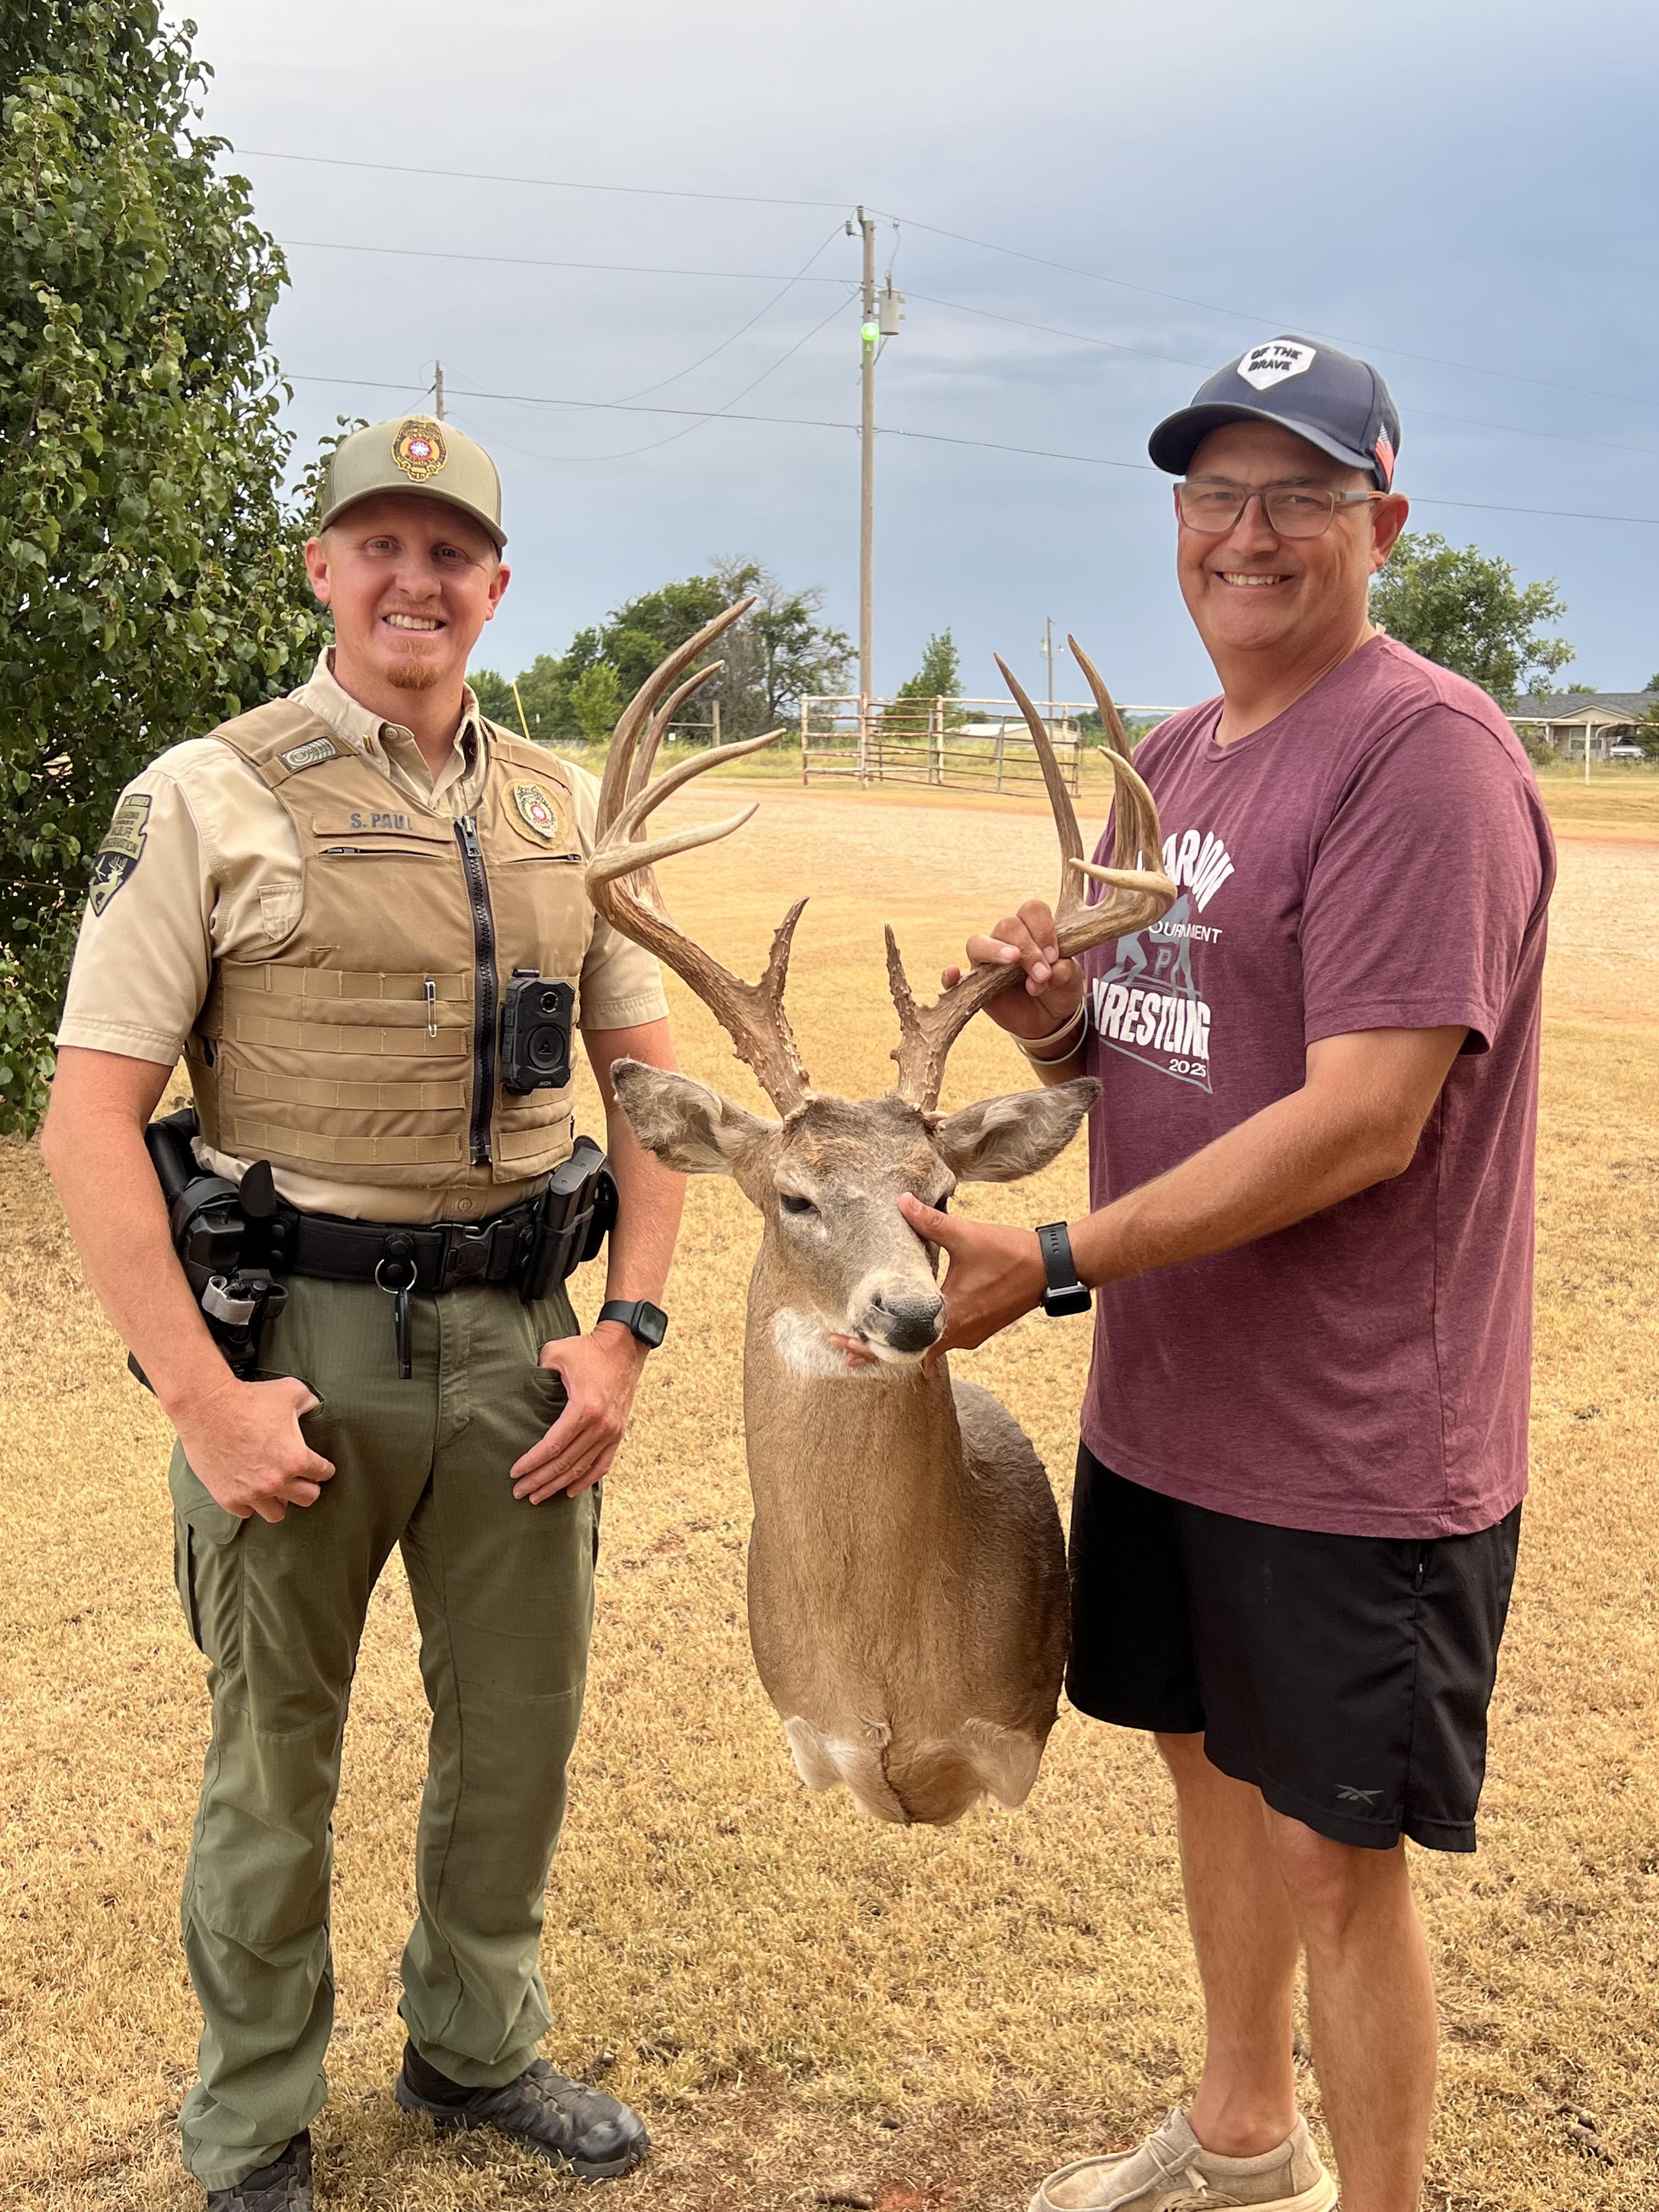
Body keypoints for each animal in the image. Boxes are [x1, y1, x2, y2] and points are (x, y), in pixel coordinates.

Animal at [586, 604, 1174, 1825]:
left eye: (939, 1195)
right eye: (794, 1196)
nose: (907, 1312)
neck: (885, 1681)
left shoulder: (1010, 1750)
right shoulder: (812, 1748)